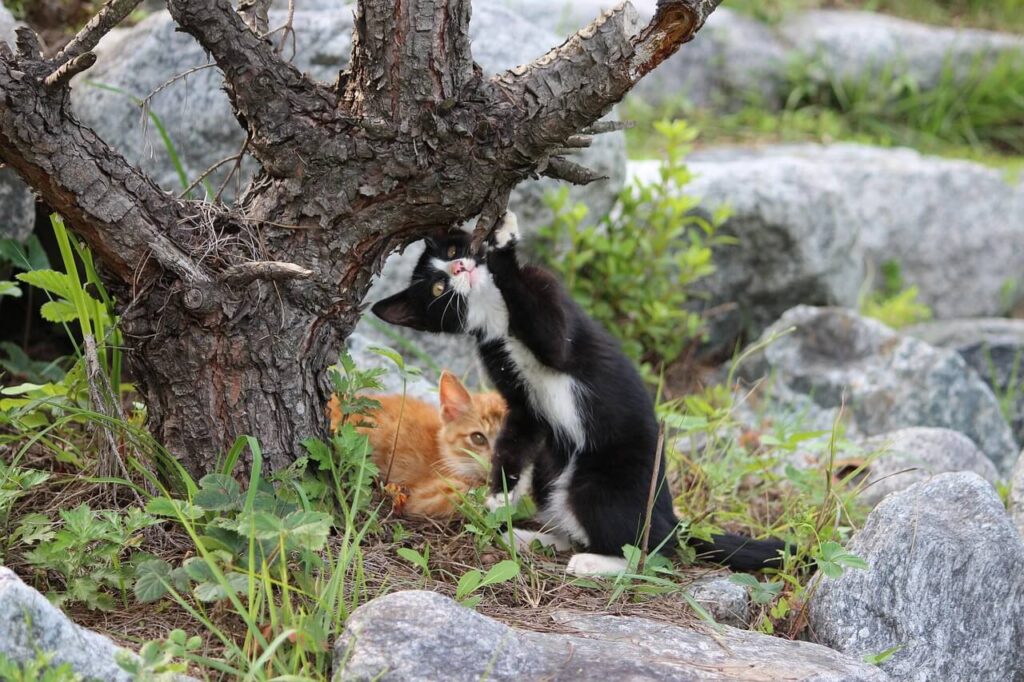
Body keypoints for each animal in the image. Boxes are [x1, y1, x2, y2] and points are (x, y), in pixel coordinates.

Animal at [374, 212, 782, 573]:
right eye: (437, 288)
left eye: (455, 247)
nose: (460, 268)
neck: (496, 316)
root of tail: (670, 518)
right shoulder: (517, 392)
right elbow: (517, 435)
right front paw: (500, 494)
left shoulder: (552, 305)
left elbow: (549, 333)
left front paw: (503, 238)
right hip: (553, 467)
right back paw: (538, 540)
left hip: (604, 482)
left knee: (652, 549)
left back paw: (593, 560)